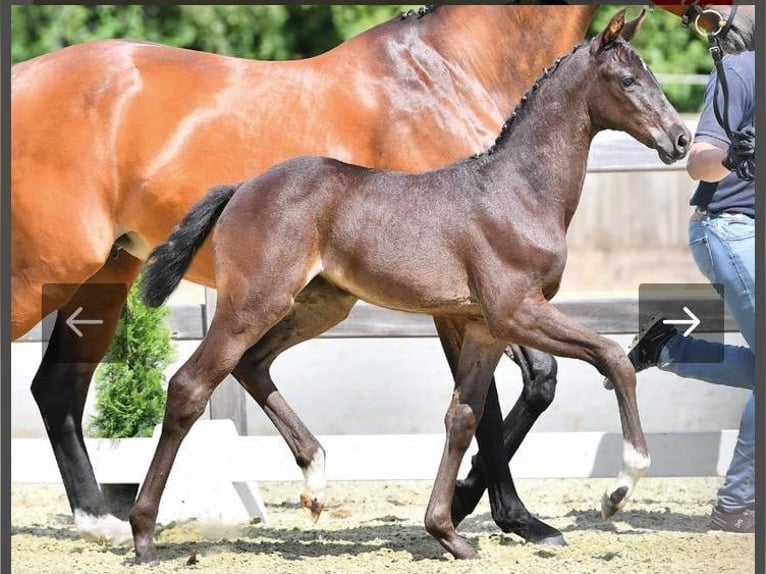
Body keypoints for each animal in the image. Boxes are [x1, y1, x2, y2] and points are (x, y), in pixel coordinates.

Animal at [10, 2, 756, 544]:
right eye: (627, 80)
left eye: (653, 75)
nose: (681, 139)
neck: (515, 186)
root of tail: (244, 186)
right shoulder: (510, 310)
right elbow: (607, 360)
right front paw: (614, 487)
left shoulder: (484, 323)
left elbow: (469, 411)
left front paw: (466, 520)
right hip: (199, 292)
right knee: (188, 385)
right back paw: (139, 530)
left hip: (294, 301)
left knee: (122, 380)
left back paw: (296, 482)